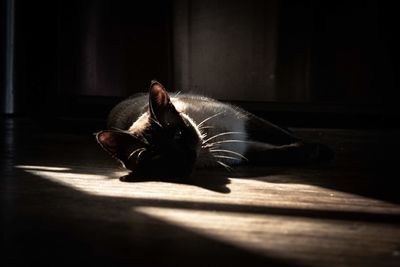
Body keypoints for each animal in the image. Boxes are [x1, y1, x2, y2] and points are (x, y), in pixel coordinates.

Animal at [95, 80, 332, 179]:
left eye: (178, 135)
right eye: (156, 158)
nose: (185, 157)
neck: (209, 143)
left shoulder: (245, 124)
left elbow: (282, 136)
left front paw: (323, 149)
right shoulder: (245, 150)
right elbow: (279, 154)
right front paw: (313, 151)